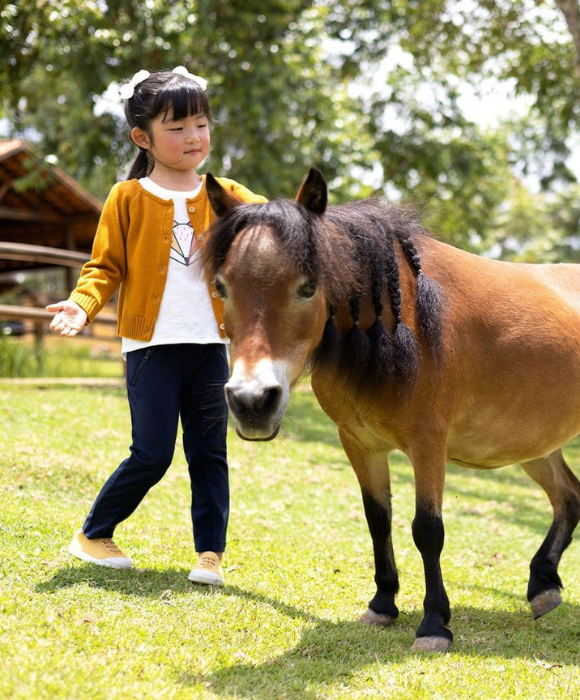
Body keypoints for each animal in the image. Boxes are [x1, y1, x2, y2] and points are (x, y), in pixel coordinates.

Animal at [202, 168, 580, 652]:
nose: (252, 401)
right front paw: (383, 604)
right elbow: (378, 520)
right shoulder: (360, 442)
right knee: (568, 499)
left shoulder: (428, 444)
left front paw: (434, 624)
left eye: (308, 287)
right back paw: (543, 586)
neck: (404, 325)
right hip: (535, 447)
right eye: (221, 287)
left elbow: (428, 530)